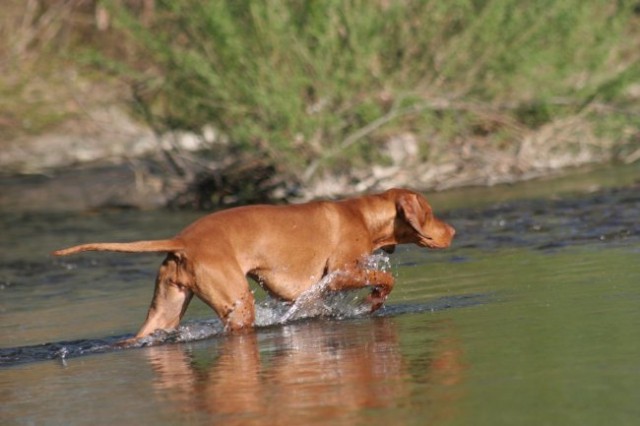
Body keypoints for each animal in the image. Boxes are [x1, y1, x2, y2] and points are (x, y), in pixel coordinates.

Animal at [55, 190, 456, 340]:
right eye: (431, 211)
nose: (452, 230)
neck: (362, 214)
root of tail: (184, 240)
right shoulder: (341, 274)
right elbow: (383, 280)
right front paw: (373, 301)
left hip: (165, 308)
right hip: (238, 304)